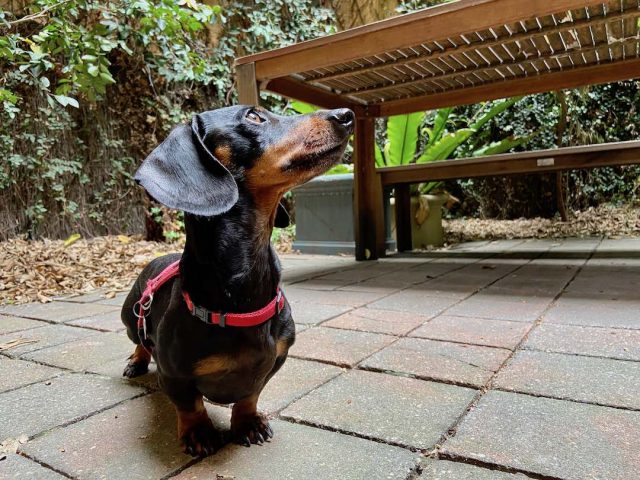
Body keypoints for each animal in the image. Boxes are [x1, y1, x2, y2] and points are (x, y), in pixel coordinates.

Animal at [120, 105, 356, 458]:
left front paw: (247, 423)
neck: (242, 293)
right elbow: (189, 404)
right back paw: (136, 362)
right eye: (253, 117)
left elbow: (249, 395)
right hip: (130, 316)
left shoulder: (275, 359)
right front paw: (198, 432)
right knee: (139, 340)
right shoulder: (173, 374)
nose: (346, 113)